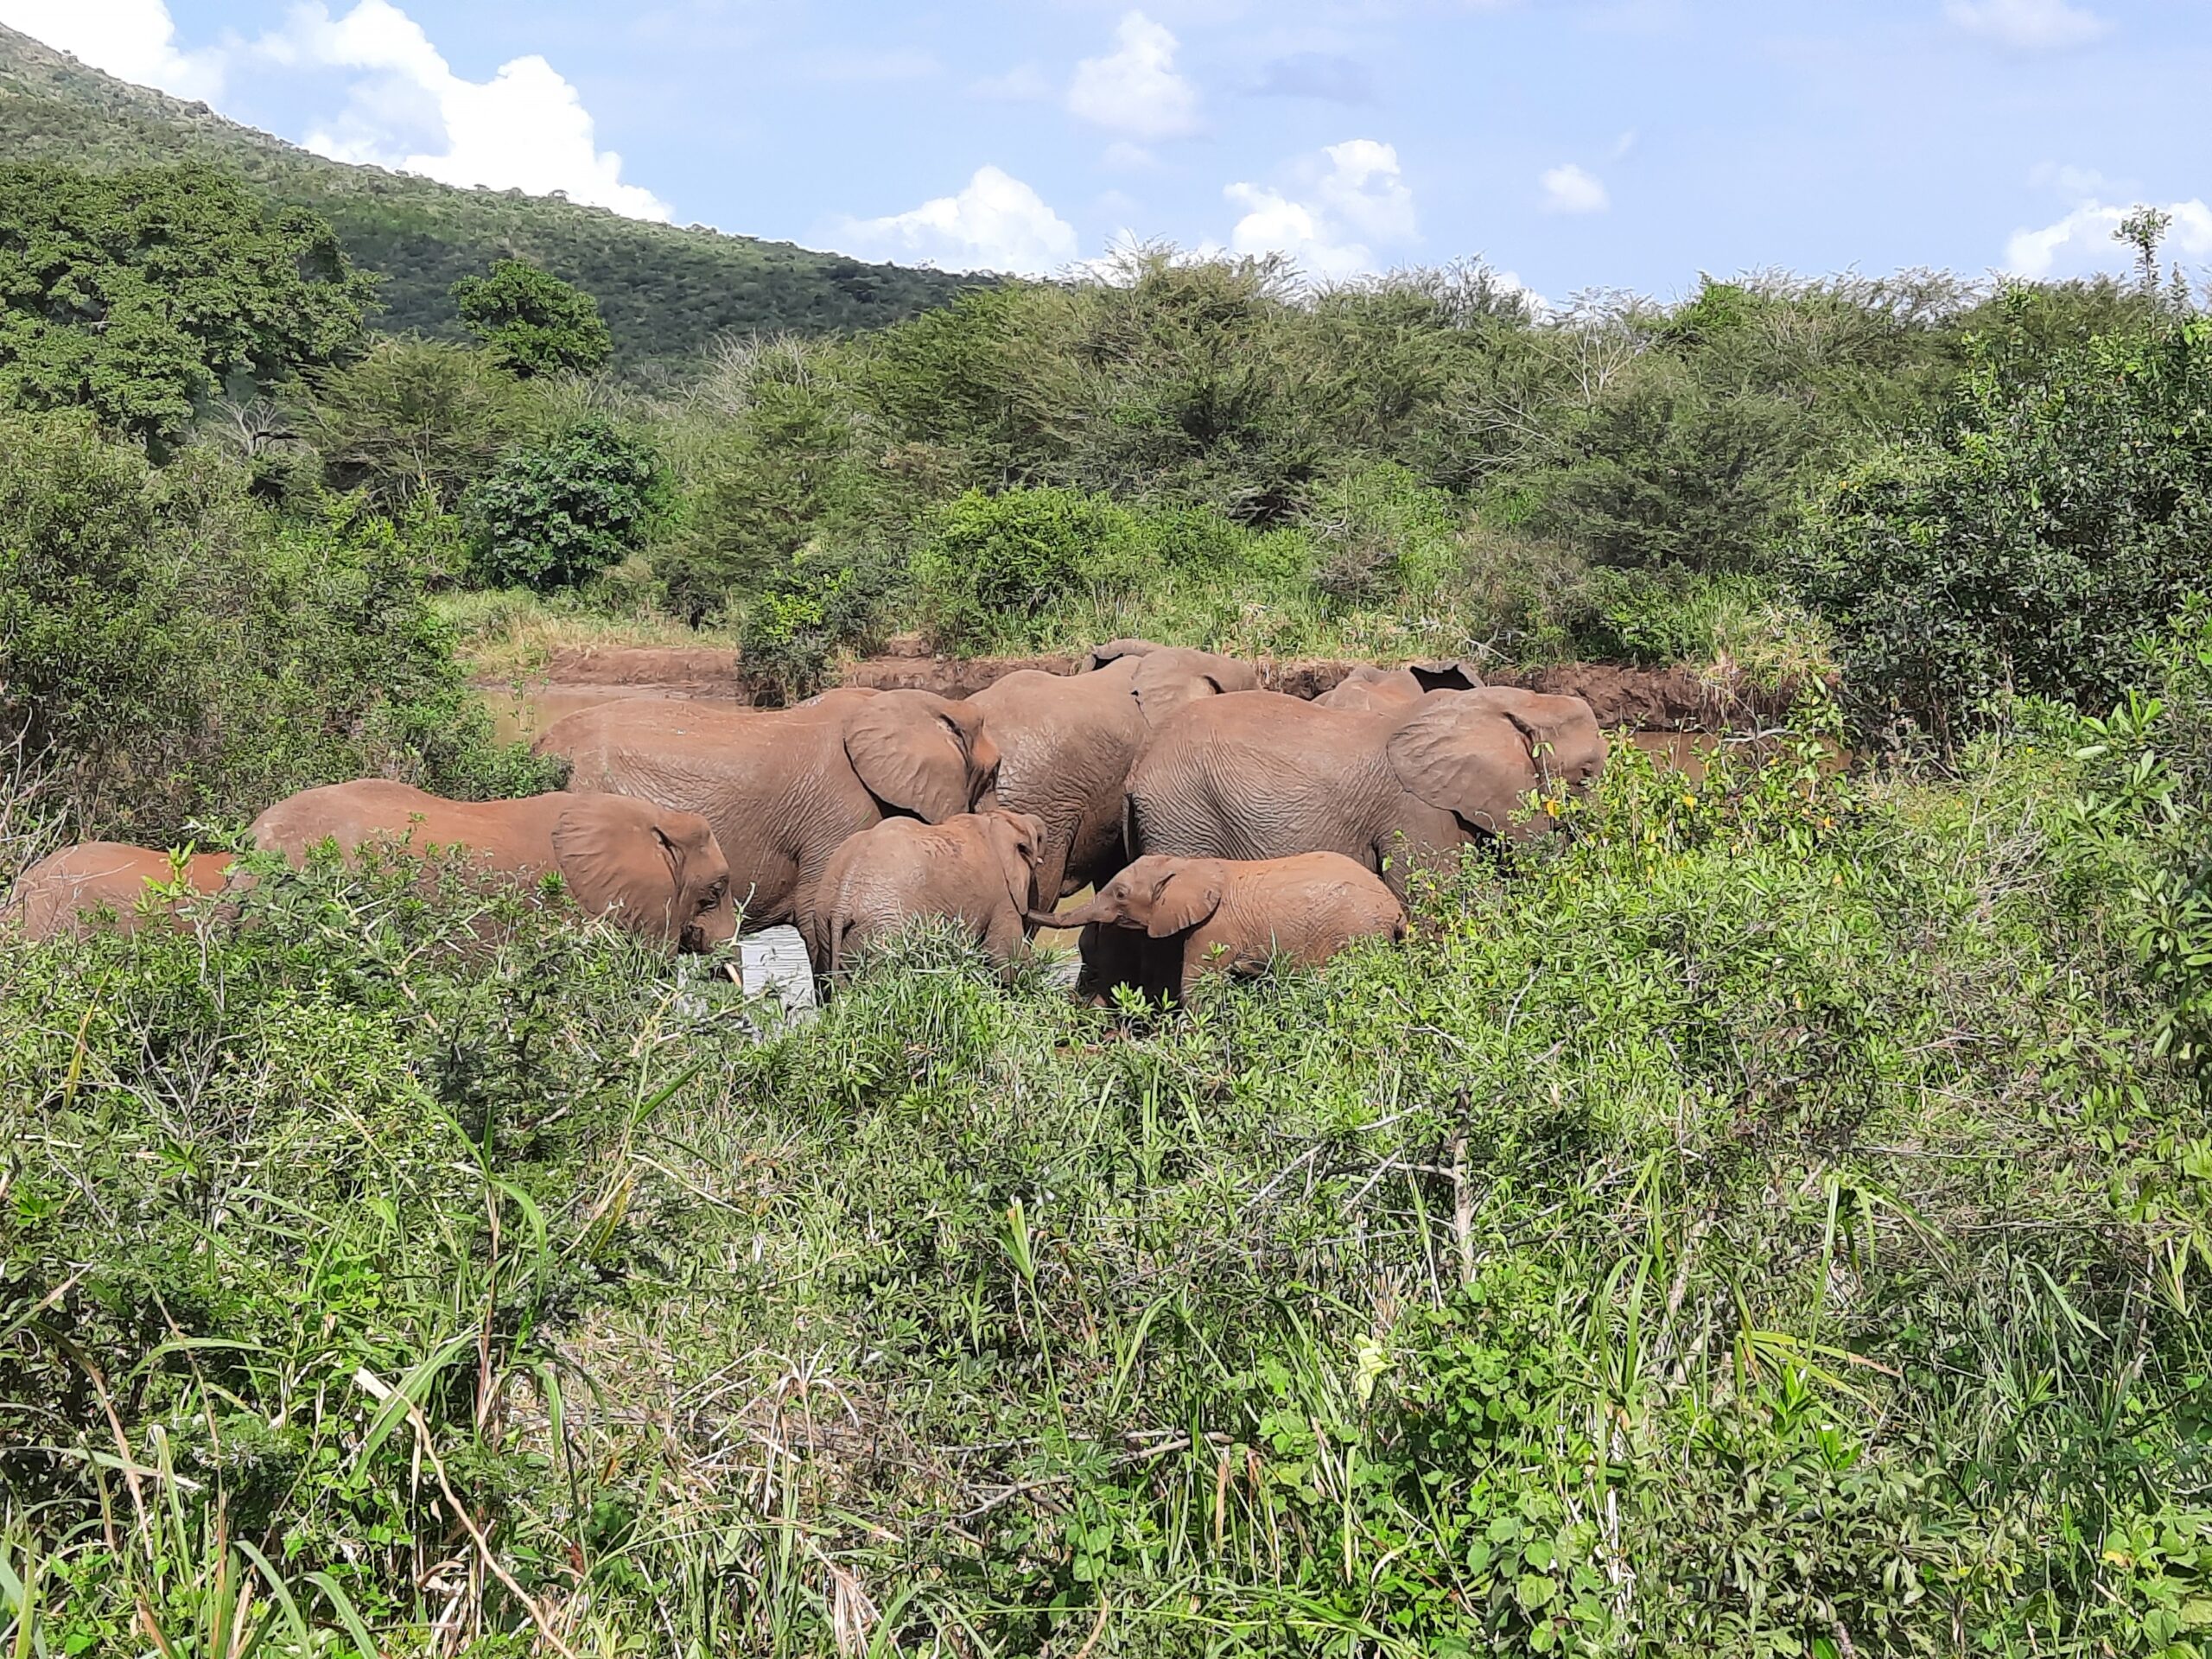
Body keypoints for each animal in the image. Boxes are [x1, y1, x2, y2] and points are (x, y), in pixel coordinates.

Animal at [814, 804, 1052, 973]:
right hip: (885, 932)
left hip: (827, 926)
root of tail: (842, 903)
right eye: (1038, 841)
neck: (994, 821)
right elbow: (1006, 956)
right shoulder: (1002, 895)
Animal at [1030, 849, 1397, 1008]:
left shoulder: (1215, 927)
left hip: (1355, 932)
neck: (1187, 865)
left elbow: (1197, 986)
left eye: (1120, 894)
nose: (1028, 908)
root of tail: (1396, 910)